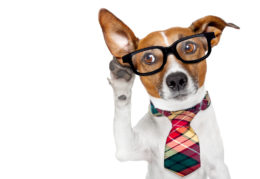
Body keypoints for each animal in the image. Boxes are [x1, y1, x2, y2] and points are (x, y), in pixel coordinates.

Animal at [98, 7, 239, 178]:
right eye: (149, 57)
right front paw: (121, 80)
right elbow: (122, 110)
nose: (176, 79)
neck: (178, 113)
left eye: (189, 47)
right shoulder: (128, 149)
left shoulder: (217, 166)